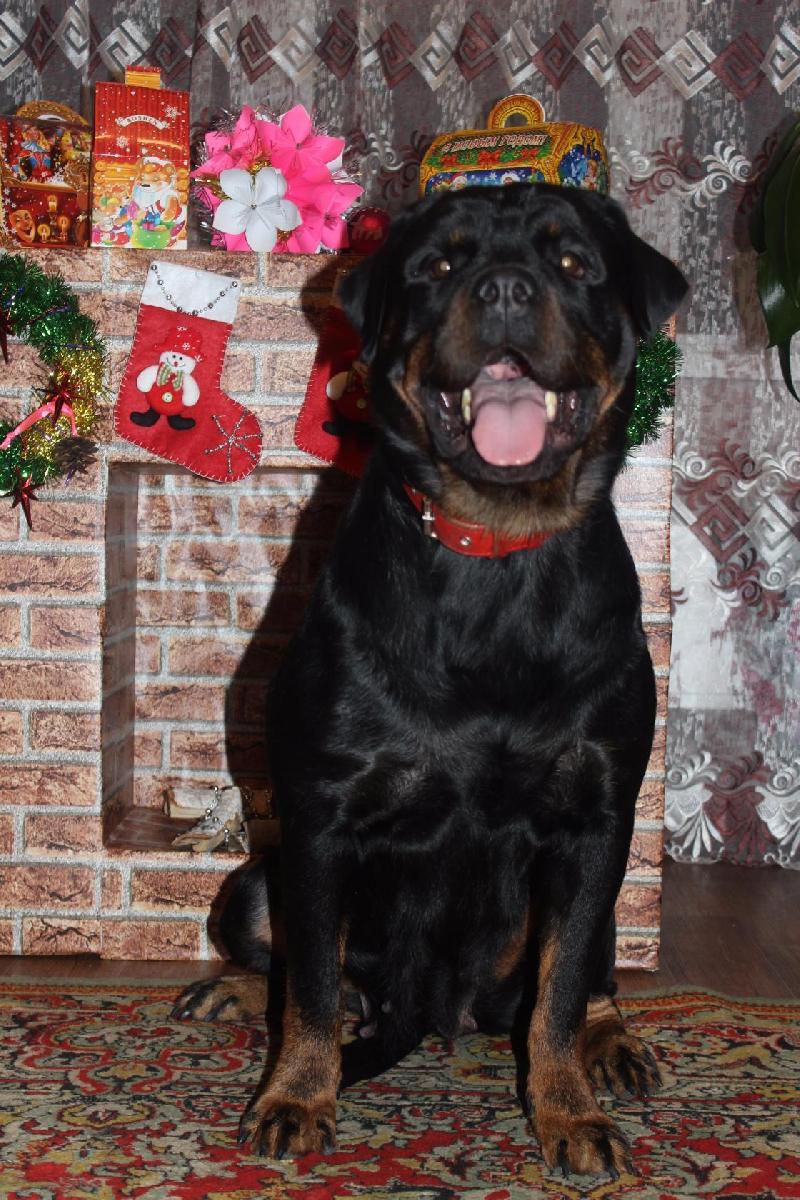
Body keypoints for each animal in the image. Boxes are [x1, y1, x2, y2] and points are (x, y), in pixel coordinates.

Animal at [174, 182, 688, 1177]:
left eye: (574, 262)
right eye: (440, 265)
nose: (504, 288)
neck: (495, 546)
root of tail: (438, 1011)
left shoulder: (597, 816)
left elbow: (562, 989)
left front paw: (567, 1112)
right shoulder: (321, 816)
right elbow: (313, 986)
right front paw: (298, 1094)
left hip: (601, 889)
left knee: (594, 972)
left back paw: (613, 1045)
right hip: (249, 884)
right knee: (304, 969)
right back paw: (235, 996)